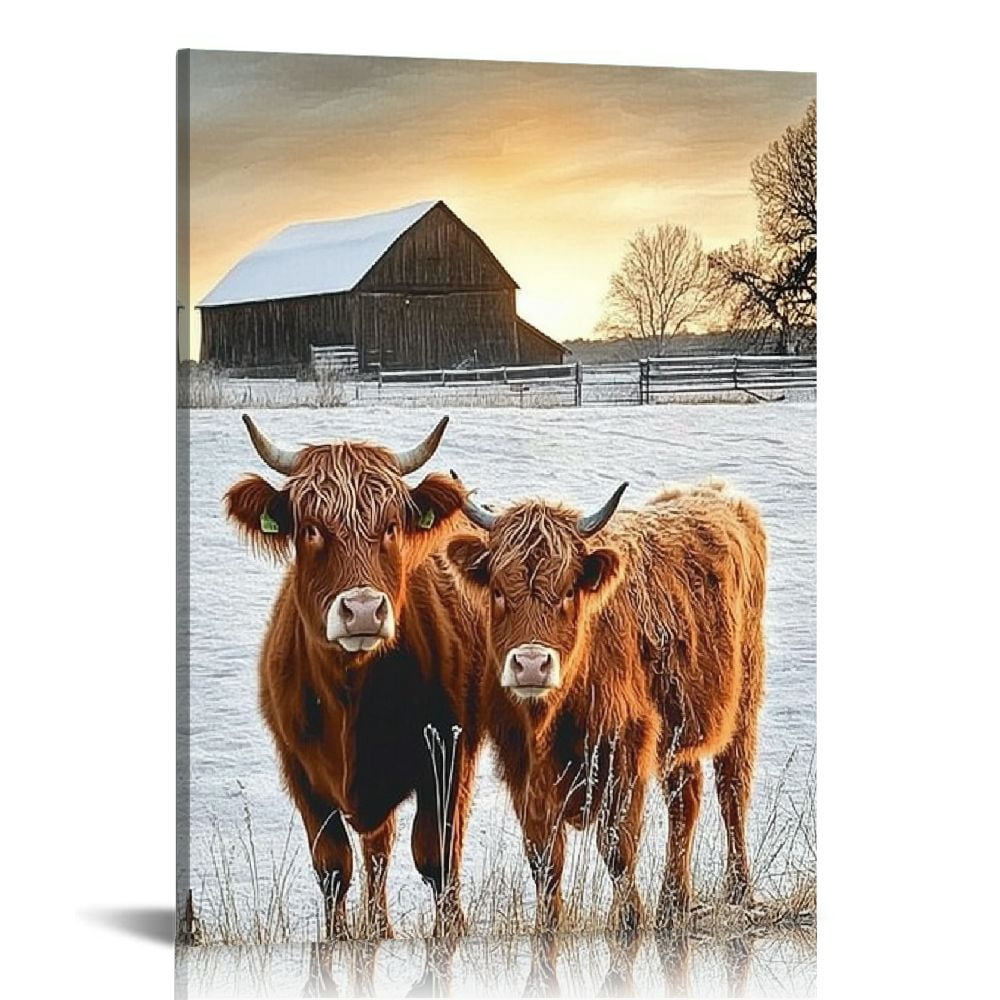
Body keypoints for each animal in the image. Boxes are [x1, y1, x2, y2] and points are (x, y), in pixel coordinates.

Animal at [224, 415, 485, 939]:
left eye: (391, 526)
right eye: (310, 528)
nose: (362, 610)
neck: (351, 694)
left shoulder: (445, 754)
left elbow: (436, 856)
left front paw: (449, 933)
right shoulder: (300, 772)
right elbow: (333, 865)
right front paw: (339, 939)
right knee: (376, 849)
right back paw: (378, 927)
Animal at [445, 479, 767, 932]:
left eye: (567, 591)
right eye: (498, 591)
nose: (531, 664)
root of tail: (714, 492)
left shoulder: (625, 747)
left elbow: (616, 845)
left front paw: (630, 917)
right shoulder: (520, 760)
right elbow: (543, 856)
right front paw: (549, 924)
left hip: (743, 706)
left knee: (732, 792)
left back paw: (738, 890)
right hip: (679, 730)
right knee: (685, 801)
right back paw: (674, 901)